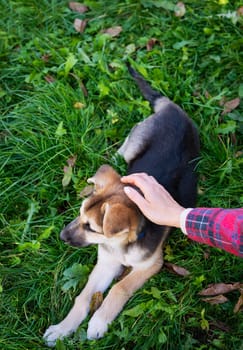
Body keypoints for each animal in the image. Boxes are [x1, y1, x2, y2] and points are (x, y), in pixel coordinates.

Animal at [43, 64, 199, 346]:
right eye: (79, 214)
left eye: (91, 227)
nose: (61, 236)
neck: (120, 245)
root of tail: (171, 108)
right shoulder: (105, 262)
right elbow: (83, 296)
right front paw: (63, 329)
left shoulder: (151, 264)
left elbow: (119, 287)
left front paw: (98, 322)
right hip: (130, 147)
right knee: (117, 157)